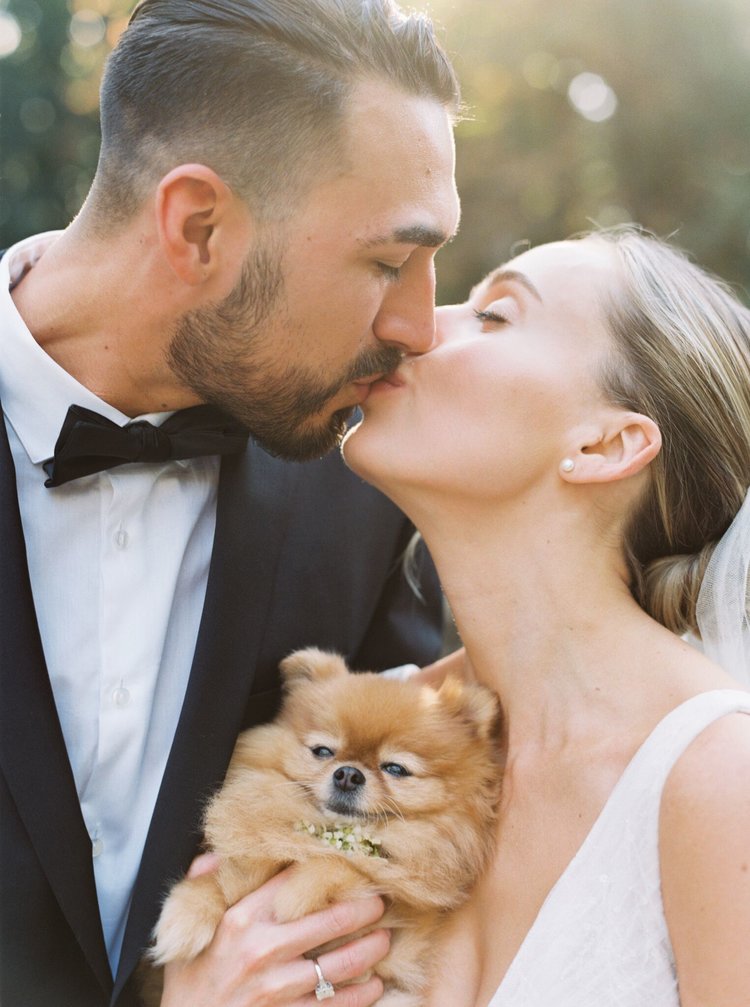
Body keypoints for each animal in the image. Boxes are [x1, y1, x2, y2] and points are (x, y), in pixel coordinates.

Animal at [142, 648, 499, 1002]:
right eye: (323, 751)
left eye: (396, 768)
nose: (348, 774)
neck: (326, 834)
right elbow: (217, 881)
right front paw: (183, 919)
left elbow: (344, 866)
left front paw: (297, 894)